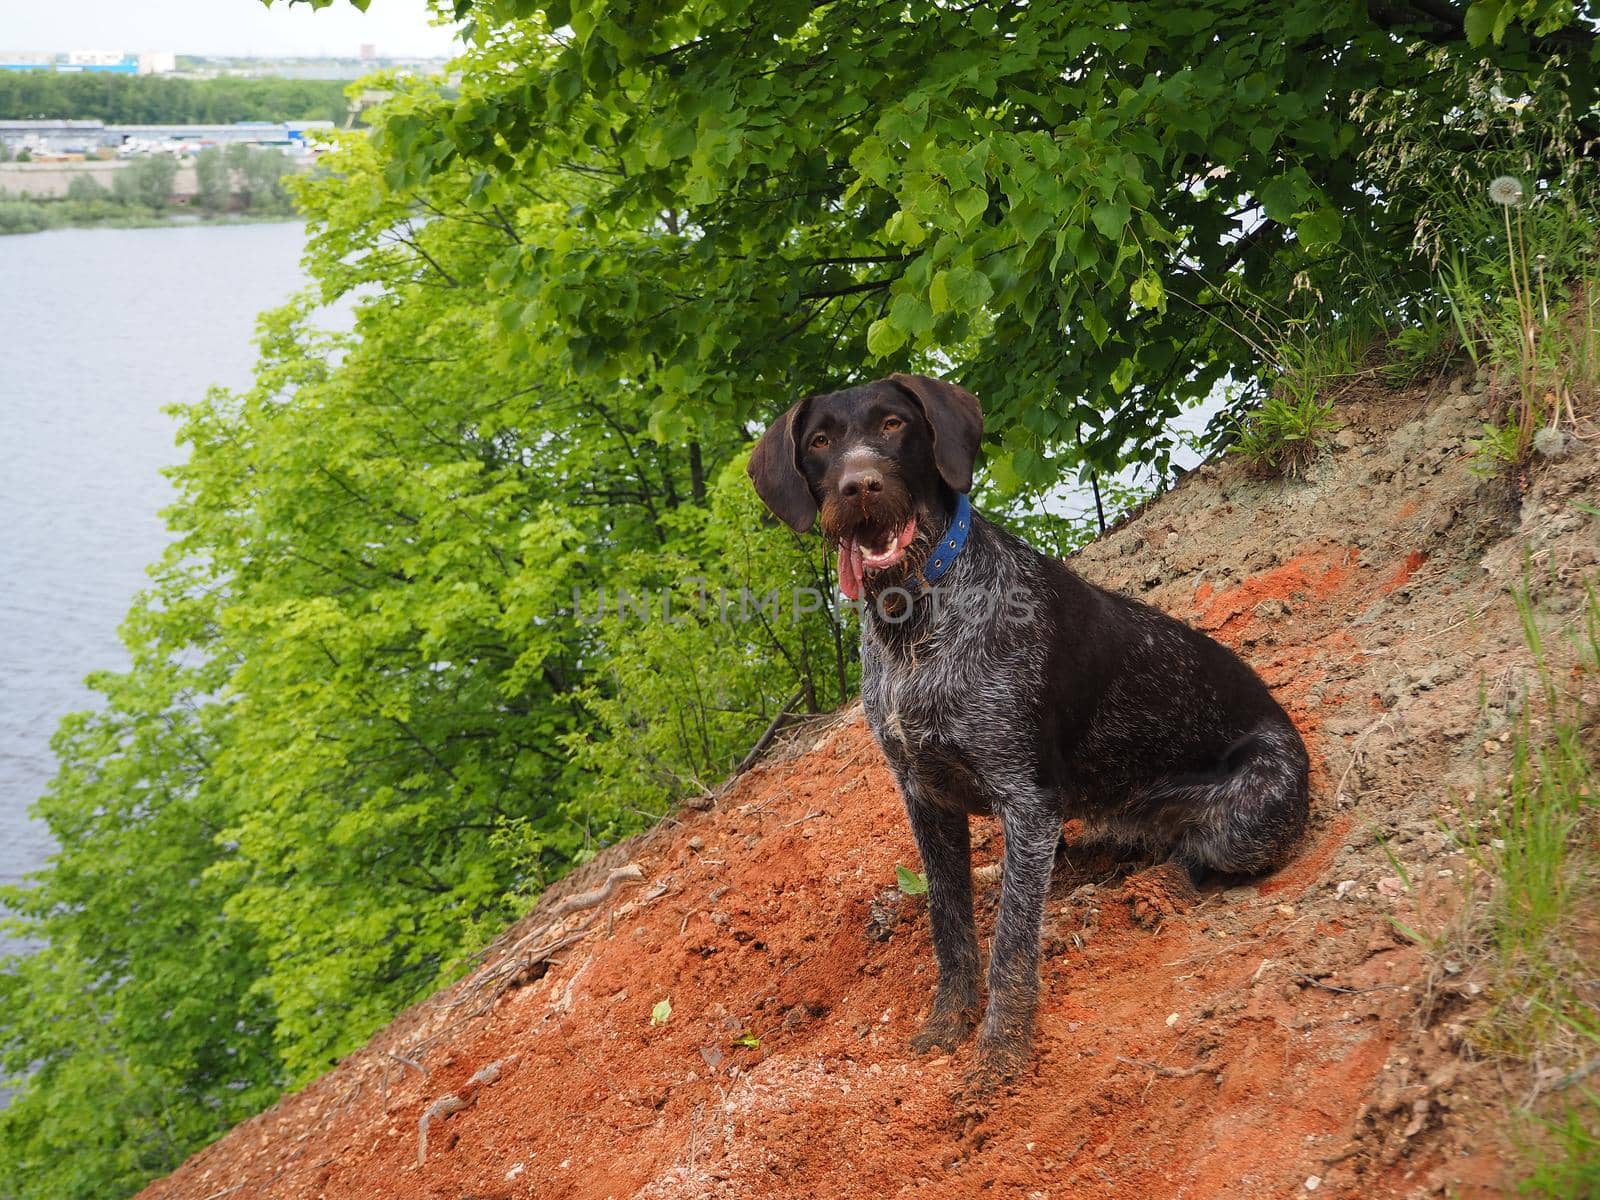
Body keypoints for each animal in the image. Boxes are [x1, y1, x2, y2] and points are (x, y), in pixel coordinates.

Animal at [742, 376, 1305, 1100]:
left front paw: (1001, 1054)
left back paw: (1156, 887)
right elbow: (950, 925)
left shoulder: (1027, 800)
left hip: (1256, 803)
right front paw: (949, 1022)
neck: (913, 617)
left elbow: (1011, 941)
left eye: (894, 424)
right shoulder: (926, 798)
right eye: (819, 441)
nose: (858, 486)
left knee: (1199, 850)